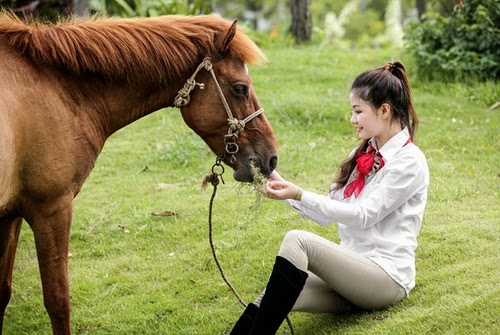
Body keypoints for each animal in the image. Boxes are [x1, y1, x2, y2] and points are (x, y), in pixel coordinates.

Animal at [0, 13, 278, 335]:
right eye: (240, 88)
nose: (271, 158)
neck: (57, 90)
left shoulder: (10, 215)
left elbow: (3, 292)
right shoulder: (51, 209)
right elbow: (58, 301)